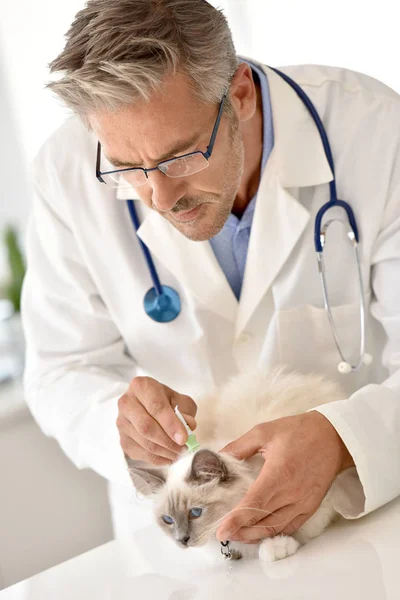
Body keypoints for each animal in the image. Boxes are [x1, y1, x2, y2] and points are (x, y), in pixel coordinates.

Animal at [128, 366, 344, 564]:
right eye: (168, 520)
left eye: (195, 513)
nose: (182, 540)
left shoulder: (319, 504)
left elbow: (297, 530)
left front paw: (275, 546)